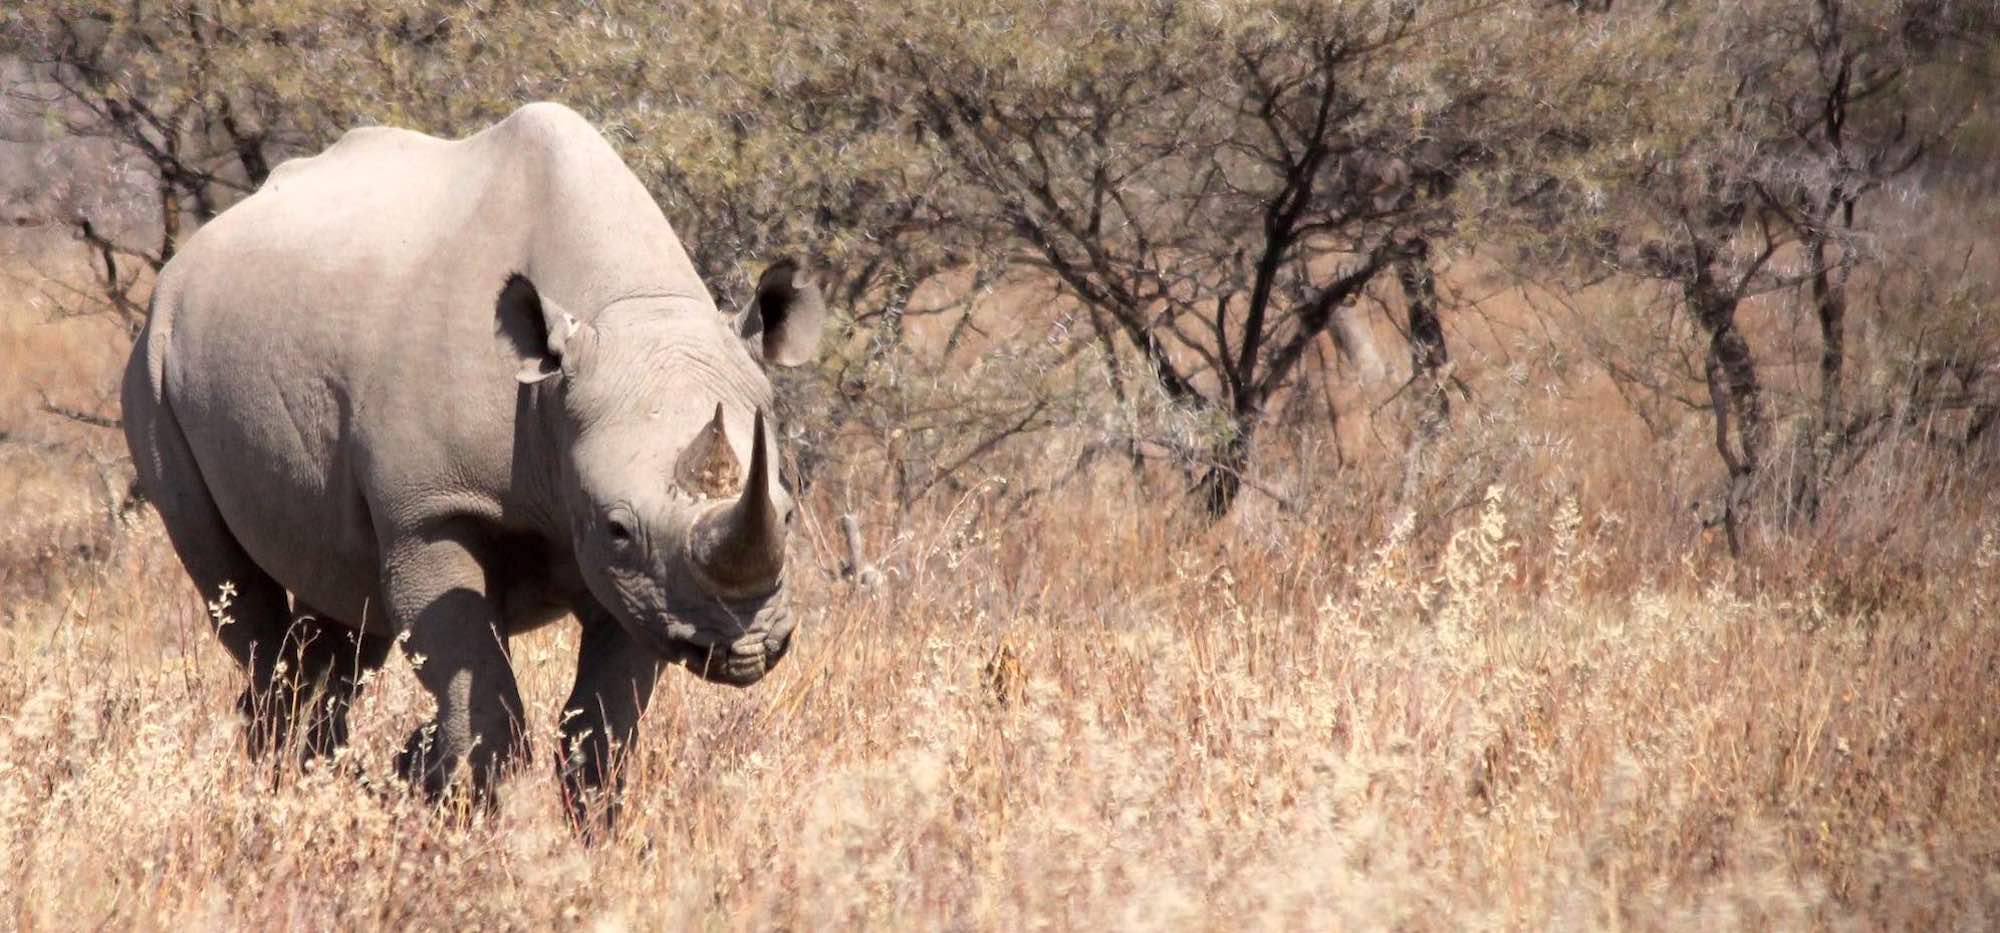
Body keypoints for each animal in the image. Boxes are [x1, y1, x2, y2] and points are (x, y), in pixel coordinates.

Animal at [120, 102, 826, 827]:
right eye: (617, 527)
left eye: (788, 513)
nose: (745, 646)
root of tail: (185, 260)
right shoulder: (434, 512)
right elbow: (484, 702)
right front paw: (460, 823)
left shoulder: (648, 586)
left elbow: (601, 731)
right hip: (152, 363)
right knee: (236, 591)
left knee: (339, 608)